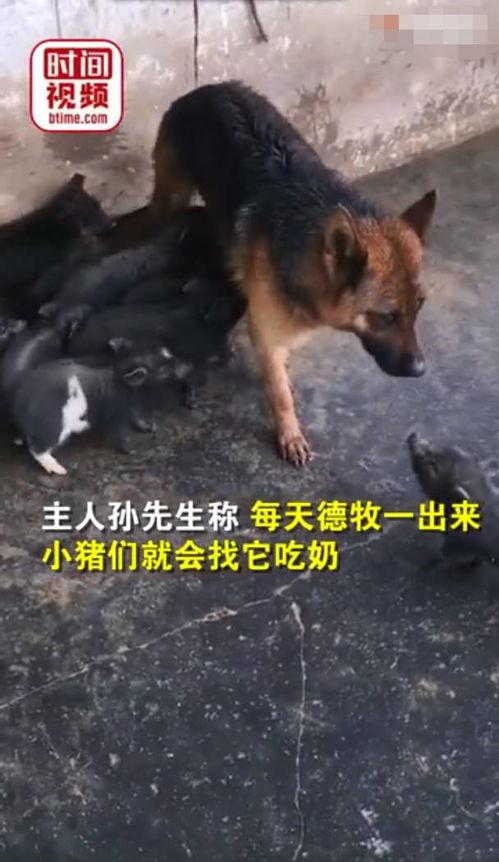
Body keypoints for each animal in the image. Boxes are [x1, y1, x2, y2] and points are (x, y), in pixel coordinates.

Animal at [131, 80, 436, 466]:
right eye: (385, 316)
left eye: (420, 307)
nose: (421, 370)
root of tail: (207, 88)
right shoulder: (266, 329)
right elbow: (279, 394)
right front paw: (289, 432)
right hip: (171, 197)